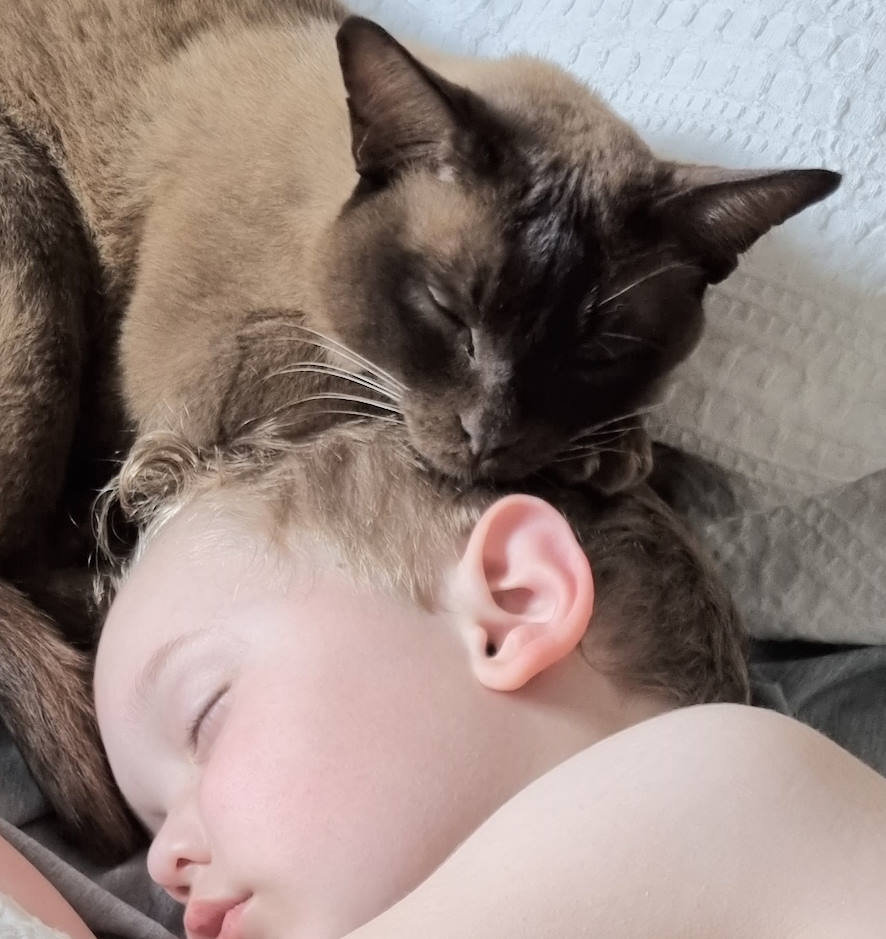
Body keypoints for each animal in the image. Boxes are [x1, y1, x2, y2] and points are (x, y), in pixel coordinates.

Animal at [0, 0, 840, 856]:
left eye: (597, 350)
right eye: (448, 312)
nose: (490, 434)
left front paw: (618, 452)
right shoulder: (224, 377)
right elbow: (351, 411)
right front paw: (612, 463)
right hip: (37, 228)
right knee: (31, 560)